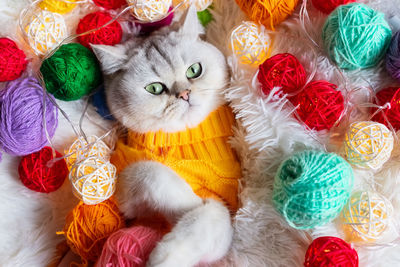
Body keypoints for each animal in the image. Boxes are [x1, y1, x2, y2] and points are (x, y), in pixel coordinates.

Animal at [92, 6, 239, 267]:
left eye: (194, 71)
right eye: (154, 89)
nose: (184, 94)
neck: (184, 137)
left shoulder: (227, 205)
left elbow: (211, 216)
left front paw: (166, 255)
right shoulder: (123, 183)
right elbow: (151, 171)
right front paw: (185, 203)